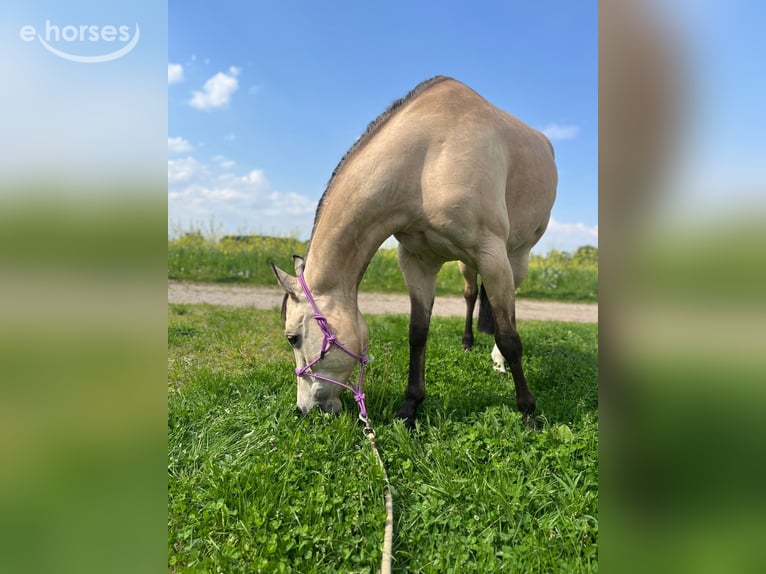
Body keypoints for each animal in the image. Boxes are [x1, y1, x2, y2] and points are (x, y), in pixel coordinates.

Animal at [271, 76, 557, 428]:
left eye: (292, 338)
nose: (304, 409)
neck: (428, 160)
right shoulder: (418, 263)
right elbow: (417, 333)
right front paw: (410, 406)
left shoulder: (491, 255)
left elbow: (509, 337)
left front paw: (528, 410)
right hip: (468, 264)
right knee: (471, 295)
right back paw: (468, 343)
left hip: (515, 257)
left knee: (509, 310)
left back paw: (499, 360)